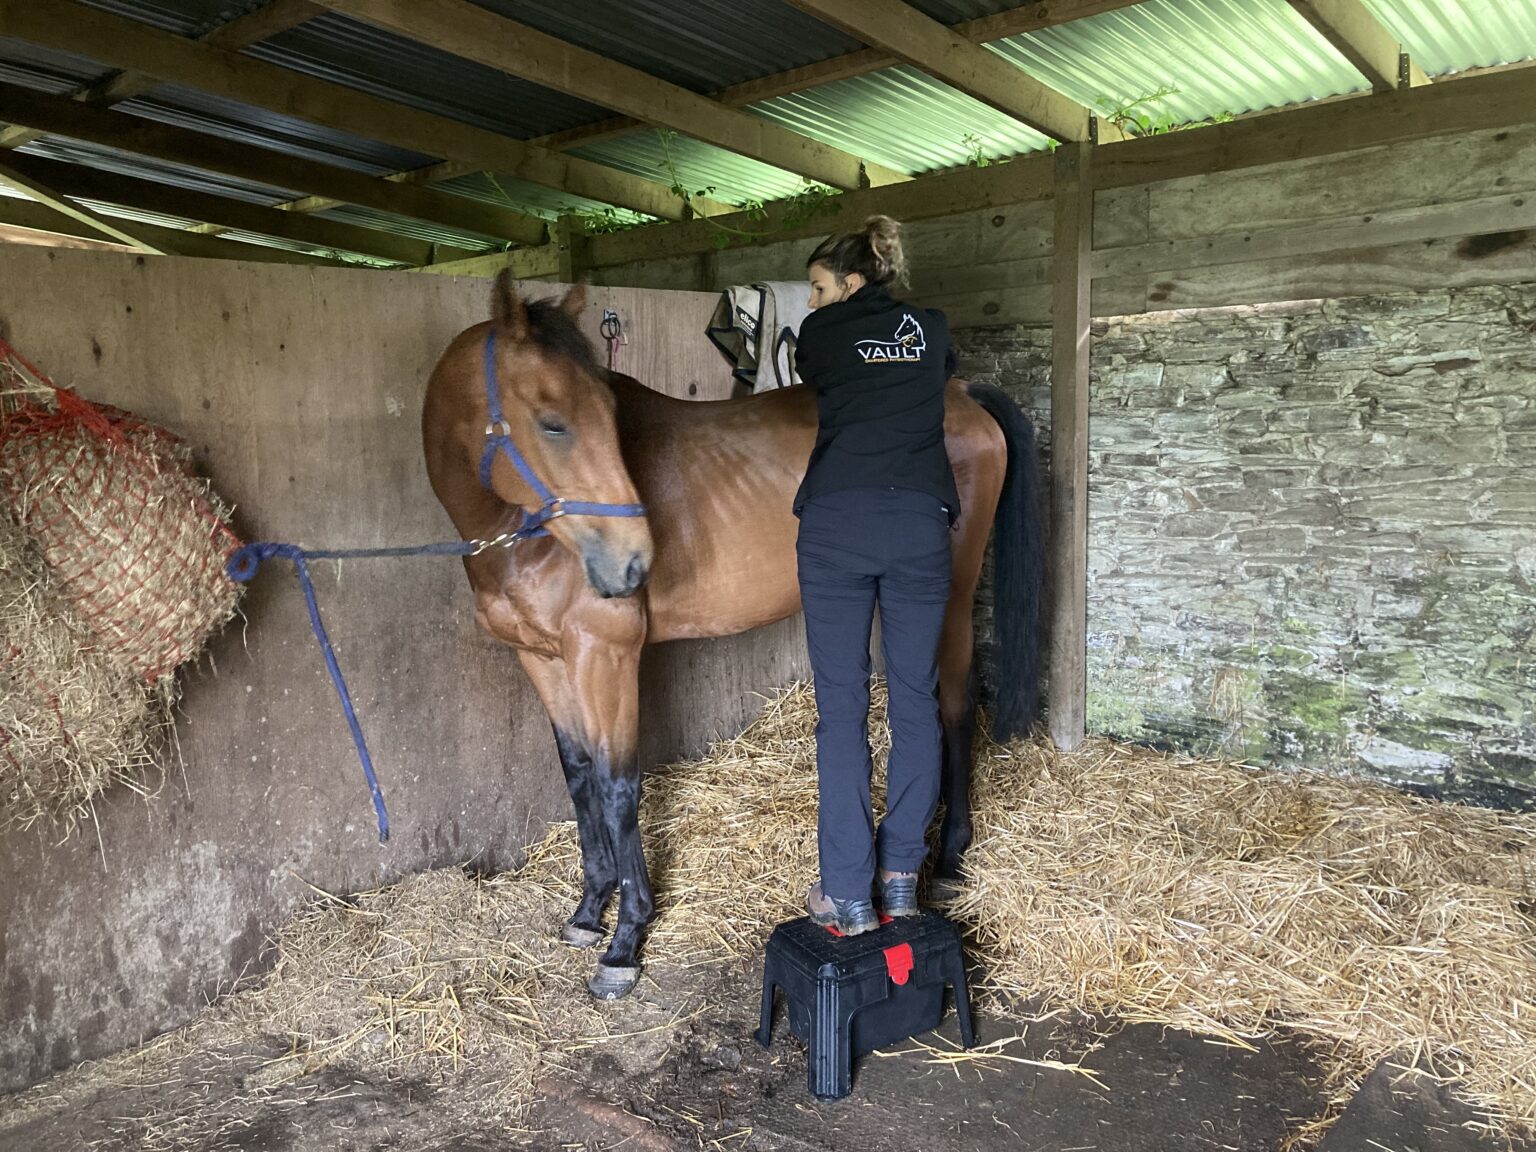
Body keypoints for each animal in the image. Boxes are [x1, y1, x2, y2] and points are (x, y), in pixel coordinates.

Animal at [420, 273, 1044, 1001]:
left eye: (608, 409)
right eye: (554, 421)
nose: (633, 564)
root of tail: (960, 394)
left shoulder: (605, 657)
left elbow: (618, 785)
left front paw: (625, 942)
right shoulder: (543, 660)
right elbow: (578, 776)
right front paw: (588, 909)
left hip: (949, 595)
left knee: (953, 707)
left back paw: (946, 862)